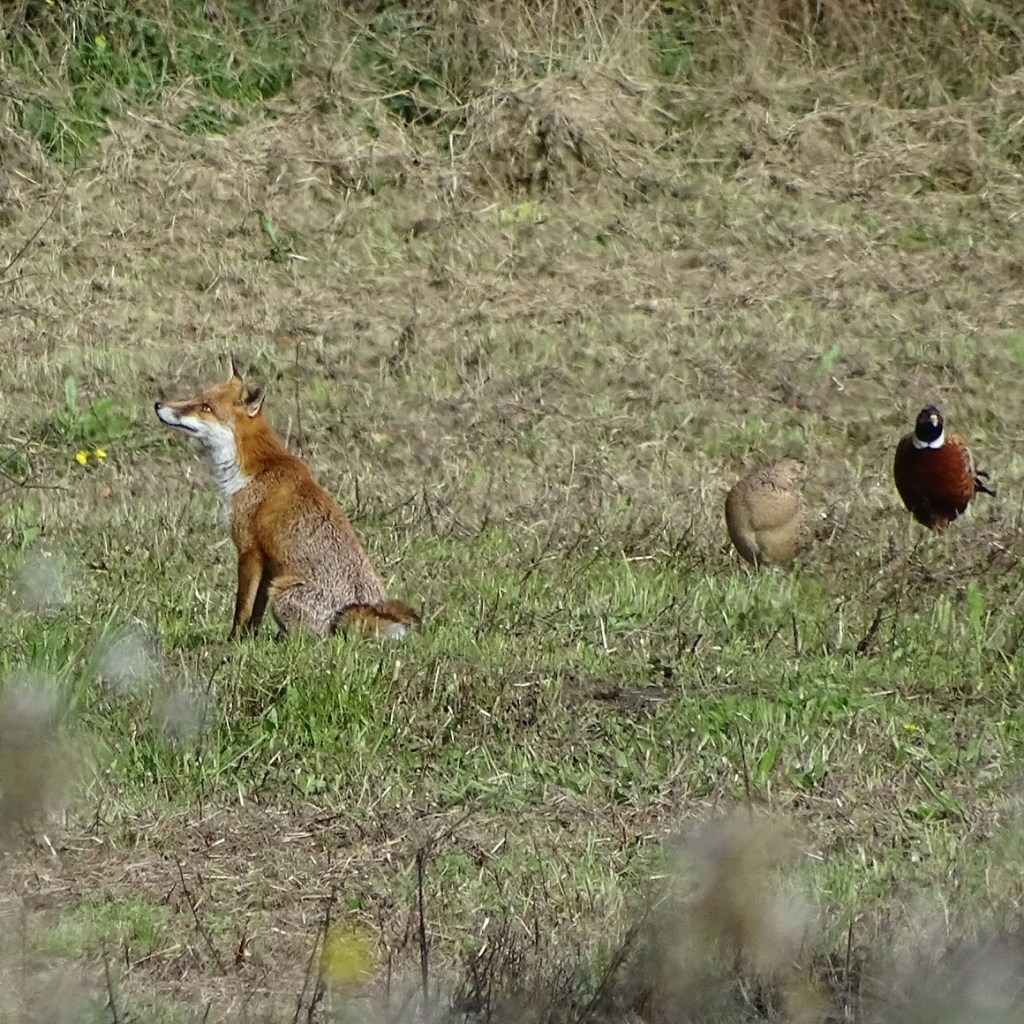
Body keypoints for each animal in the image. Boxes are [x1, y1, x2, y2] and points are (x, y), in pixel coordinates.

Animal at [154, 356, 420, 641]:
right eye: (196, 396)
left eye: (205, 407)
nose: (158, 405)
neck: (254, 469)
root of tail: (358, 610)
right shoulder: (267, 566)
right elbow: (255, 613)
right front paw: (250, 640)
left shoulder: (249, 550)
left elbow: (242, 608)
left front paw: (234, 640)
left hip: (281, 592)